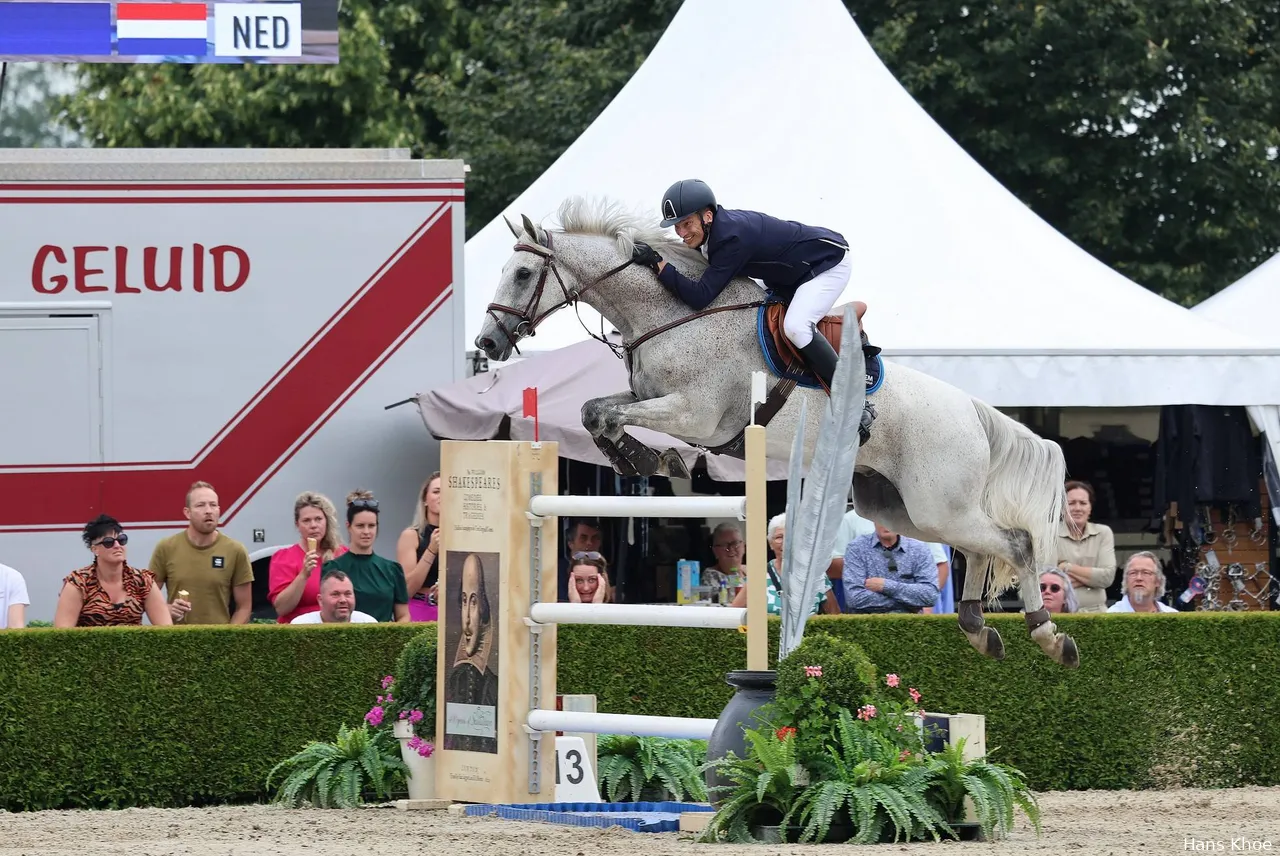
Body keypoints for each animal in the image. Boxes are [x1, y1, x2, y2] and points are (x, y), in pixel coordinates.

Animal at [476, 197, 1075, 665]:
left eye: (523, 274)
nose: (486, 344)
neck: (670, 314)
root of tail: (971, 408)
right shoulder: (648, 398)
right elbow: (594, 410)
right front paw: (638, 459)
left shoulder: (694, 415)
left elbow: (612, 415)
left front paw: (653, 461)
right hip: (901, 508)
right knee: (979, 547)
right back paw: (980, 630)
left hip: (936, 503)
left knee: (1016, 542)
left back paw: (1049, 637)